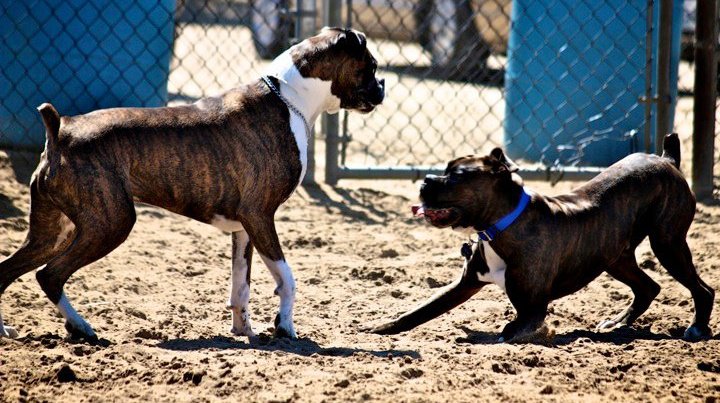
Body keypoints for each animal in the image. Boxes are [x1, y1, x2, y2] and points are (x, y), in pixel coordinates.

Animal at [0, 27, 384, 341]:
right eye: (371, 66)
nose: (383, 87)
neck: (289, 96)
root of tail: (60, 130)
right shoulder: (260, 217)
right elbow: (287, 280)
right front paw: (285, 327)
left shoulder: (244, 228)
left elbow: (241, 288)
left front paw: (245, 331)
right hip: (110, 223)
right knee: (50, 276)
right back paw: (81, 327)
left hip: (53, 232)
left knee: (9, 271)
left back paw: (7, 330)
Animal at [371, 134, 714, 342]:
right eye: (445, 169)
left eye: (457, 176)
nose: (425, 180)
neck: (500, 225)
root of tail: (666, 159)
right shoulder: (463, 285)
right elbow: (416, 313)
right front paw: (379, 329)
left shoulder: (533, 309)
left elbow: (509, 330)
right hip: (616, 258)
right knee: (648, 287)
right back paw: (617, 323)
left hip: (667, 243)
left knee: (703, 289)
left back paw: (697, 328)